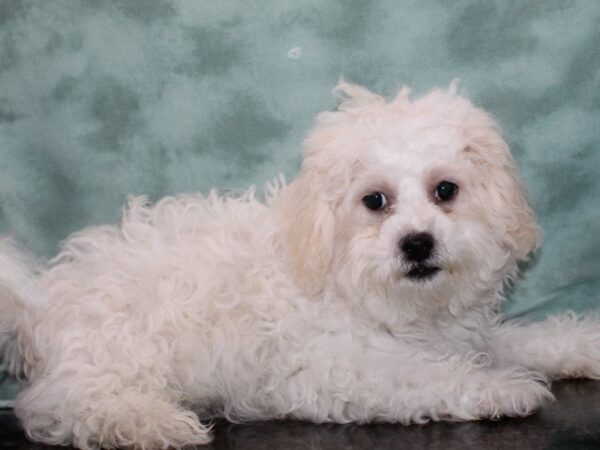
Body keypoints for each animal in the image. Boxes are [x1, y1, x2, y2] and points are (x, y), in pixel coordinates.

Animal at [1, 81, 600, 450]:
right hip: (117, 354)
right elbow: (430, 376)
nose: (416, 243)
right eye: (375, 200)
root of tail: (41, 297)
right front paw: (502, 389)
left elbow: (527, 339)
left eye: (445, 190)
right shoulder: (341, 370)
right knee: (59, 407)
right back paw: (155, 422)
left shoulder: (469, 334)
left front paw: (582, 344)